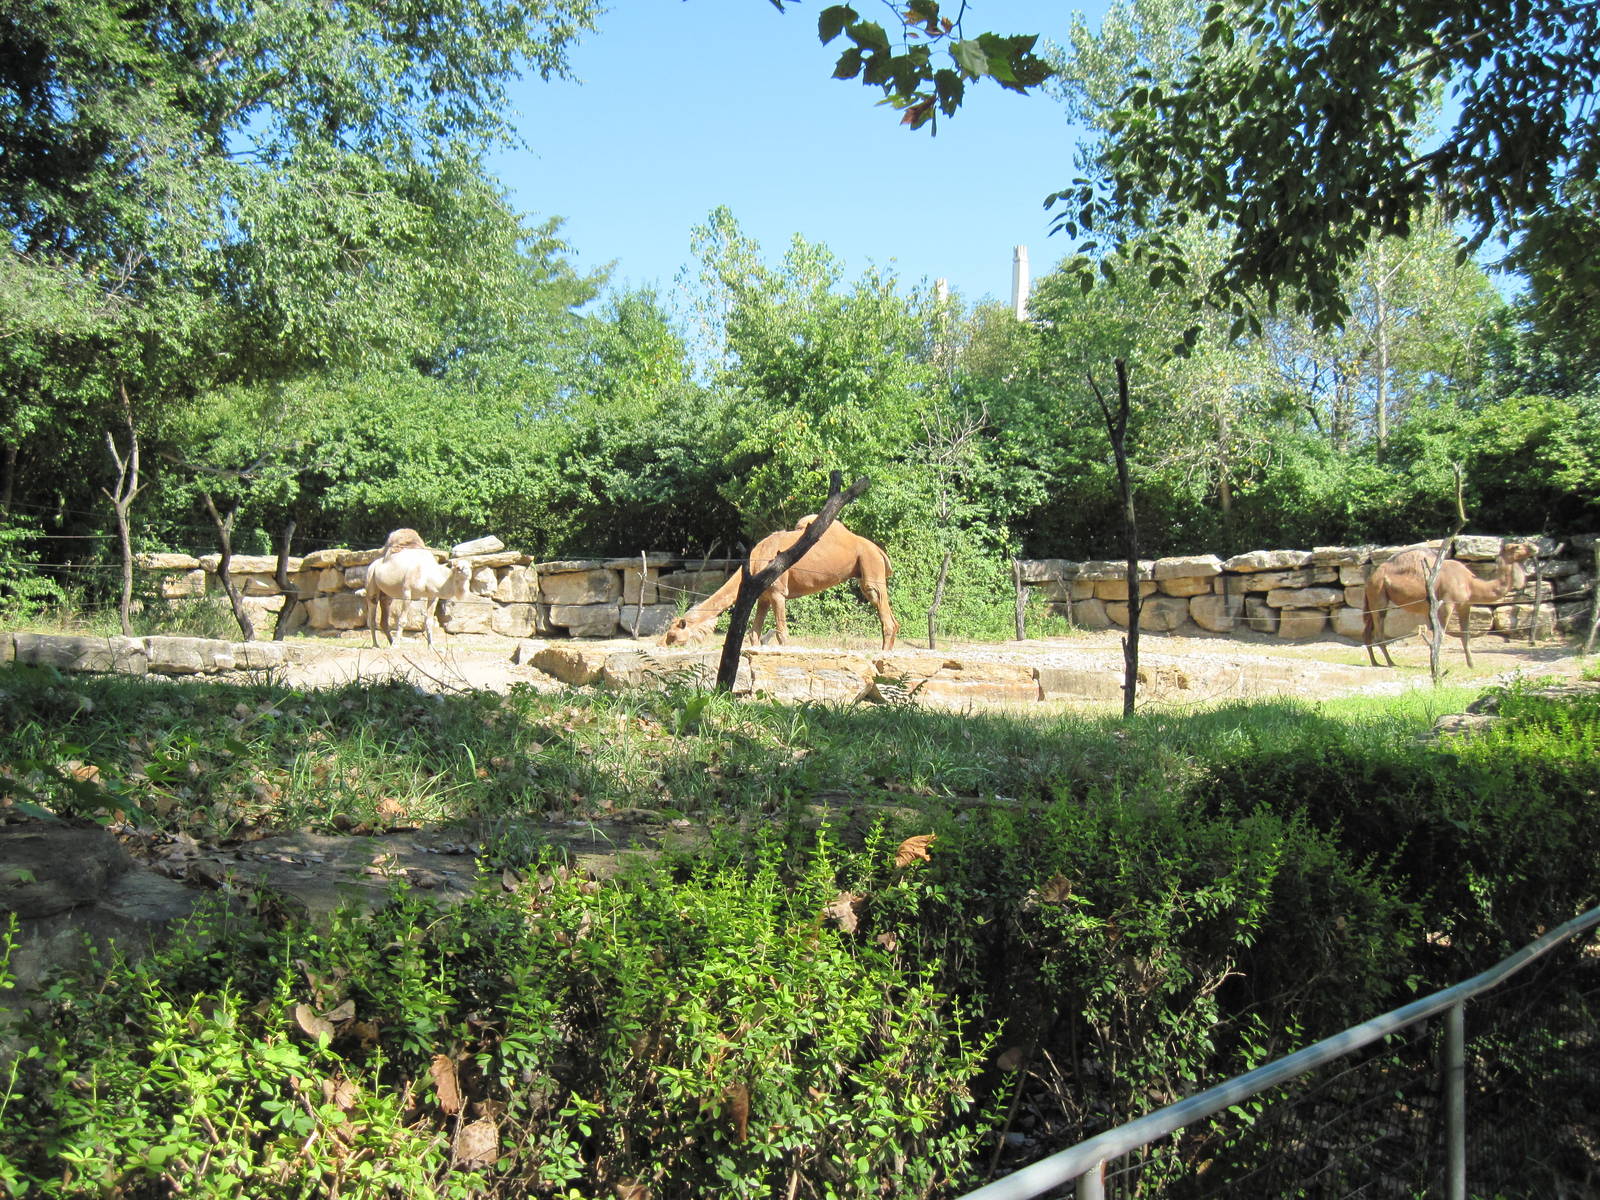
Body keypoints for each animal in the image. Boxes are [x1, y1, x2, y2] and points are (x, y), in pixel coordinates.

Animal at [662, 516, 899, 650]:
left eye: (673, 635)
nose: (661, 644)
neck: (756, 560)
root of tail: (879, 550)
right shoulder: (763, 596)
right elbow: (754, 633)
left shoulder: (777, 592)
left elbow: (781, 633)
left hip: (869, 565)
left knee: (880, 604)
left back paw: (883, 655)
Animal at [1362, 539, 1536, 667]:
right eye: (1517, 546)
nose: (1534, 547)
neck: (1470, 583)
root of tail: (1371, 577)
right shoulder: (1447, 604)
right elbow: (1441, 635)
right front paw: (1436, 664)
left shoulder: (1465, 605)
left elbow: (1466, 635)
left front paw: (1471, 664)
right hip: (1378, 595)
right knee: (1378, 633)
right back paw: (1391, 662)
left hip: (1375, 599)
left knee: (1368, 631)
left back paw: (1375, 662)